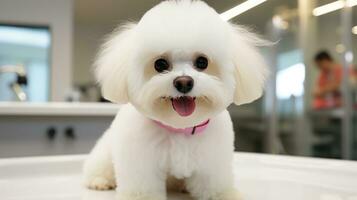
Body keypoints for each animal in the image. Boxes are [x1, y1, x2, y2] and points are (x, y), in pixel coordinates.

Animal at [83, 0, 268, 200]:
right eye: (160, 64)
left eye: (202, 62)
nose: (184, 82)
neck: (180, 128)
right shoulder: (141, 162)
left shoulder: (212, 162)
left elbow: (214, 185)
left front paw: (225, 194)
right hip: (105, 153)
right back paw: (99, 180)